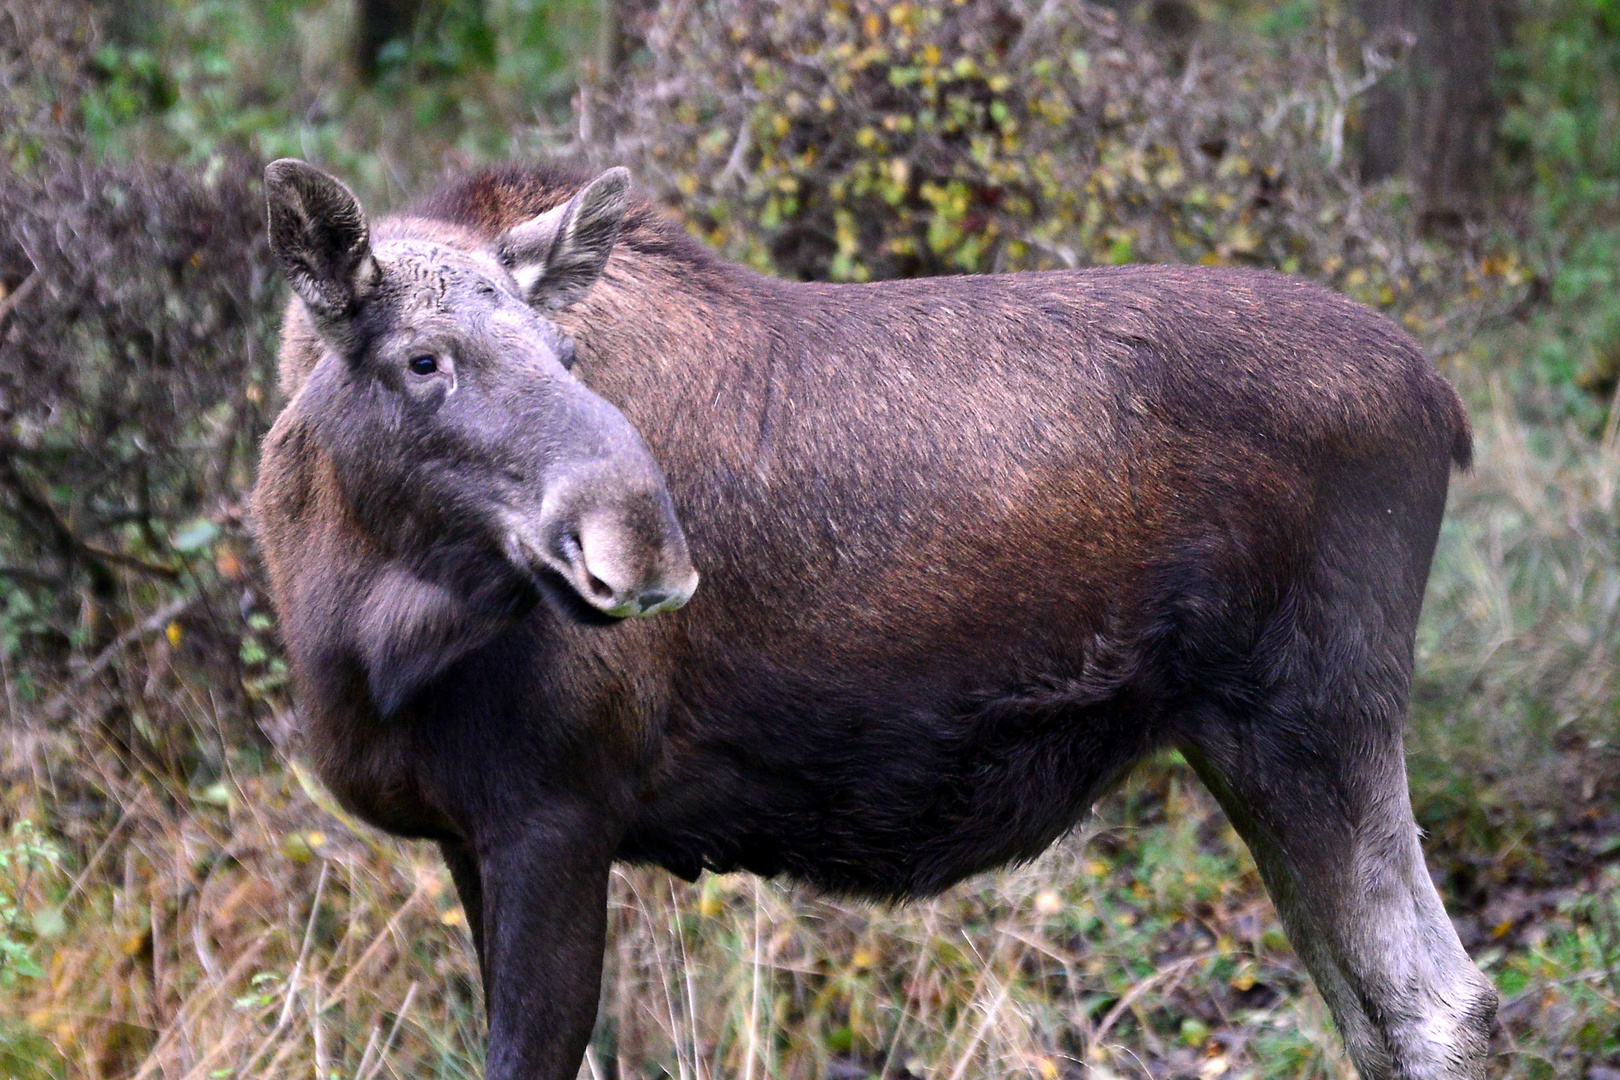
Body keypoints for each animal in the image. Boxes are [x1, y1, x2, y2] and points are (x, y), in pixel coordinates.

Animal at [255, 160, 1503, 1080]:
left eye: (567, 352)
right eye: (422, 359)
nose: (642, 538)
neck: (353, 623)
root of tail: (1444, 404)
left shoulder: (556, 809)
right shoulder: (469, 832)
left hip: (1313, 714)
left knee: (1441, 1008)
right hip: (1245, 735)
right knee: (1385, 1011)